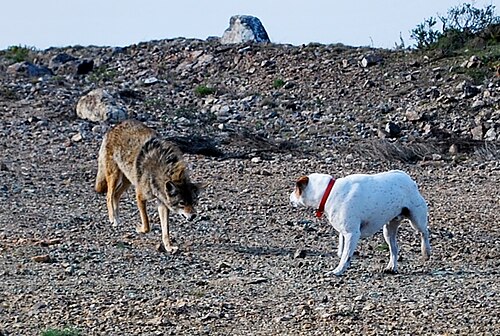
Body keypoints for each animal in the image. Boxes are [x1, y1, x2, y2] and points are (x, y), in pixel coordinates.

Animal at [292, 171, 432, 276]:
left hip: (416, 220)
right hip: (388, 231)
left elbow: (345, 255)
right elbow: (342, 250)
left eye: (296, 189)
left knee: (424, 232)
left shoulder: (352, 233)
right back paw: (391, 267)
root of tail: (410, 180)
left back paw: (426, 252)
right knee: (394, 248)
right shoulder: (344, 232)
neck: (328, 192)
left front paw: (338, 270)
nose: (289, 197)